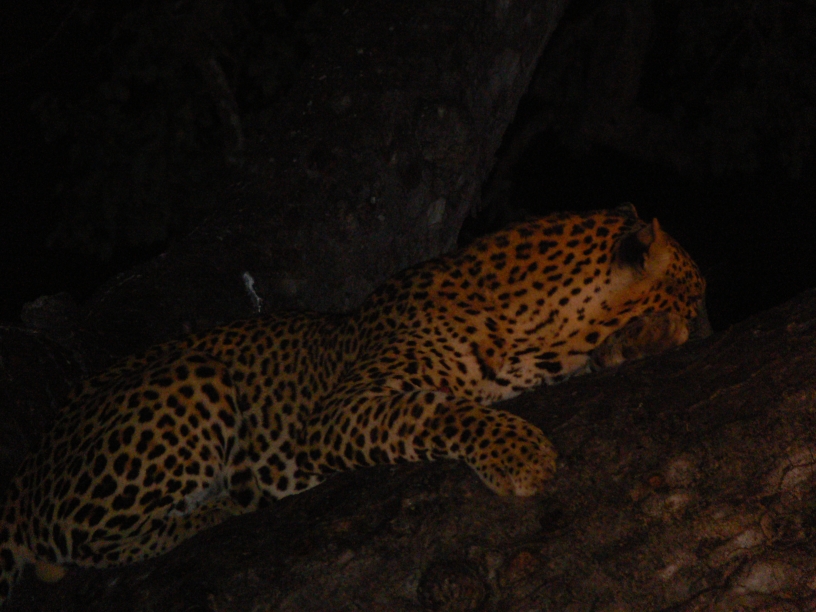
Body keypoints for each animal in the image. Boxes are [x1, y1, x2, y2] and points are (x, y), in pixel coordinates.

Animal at [0, 204, 707, 606]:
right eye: (696, 296)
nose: (702, 325)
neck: (532, 329)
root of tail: (24, 468)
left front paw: (638, 342)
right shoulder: (340, 411)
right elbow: (435, 409)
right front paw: (519, 453)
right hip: (190, 380)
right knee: (77, 545)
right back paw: (218, 510)